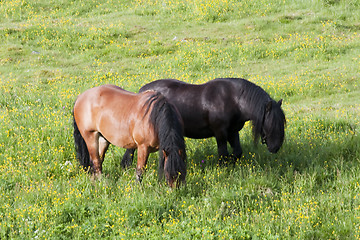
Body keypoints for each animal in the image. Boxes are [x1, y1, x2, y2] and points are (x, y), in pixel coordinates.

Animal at [122, 79, 286, 167]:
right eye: (271, 124)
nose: (276, 147)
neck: (233, 99)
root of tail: (142, 92)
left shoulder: (233, 132)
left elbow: (237, 152)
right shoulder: (220, 133)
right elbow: (223, 154)